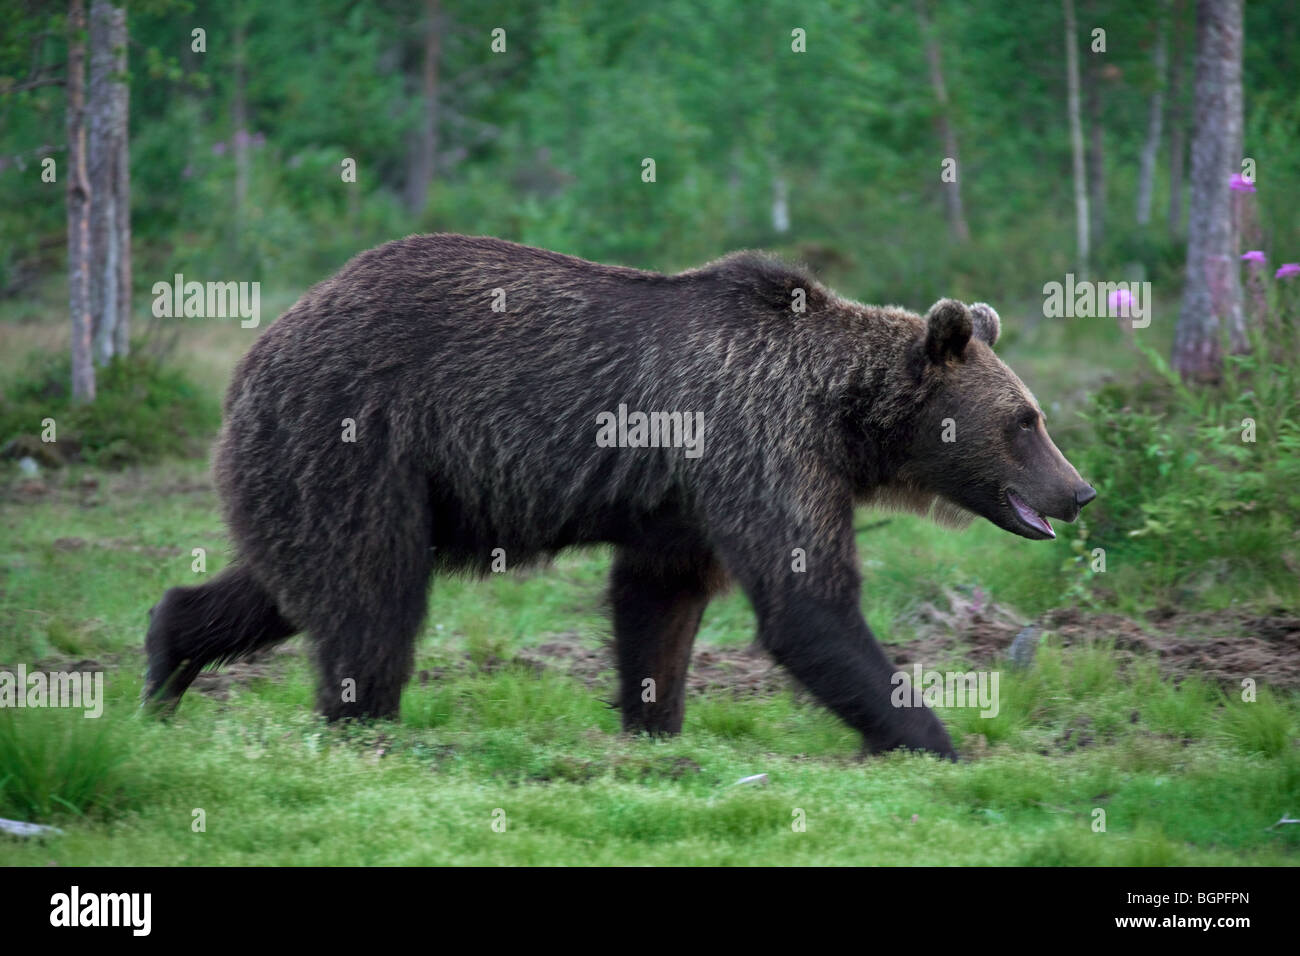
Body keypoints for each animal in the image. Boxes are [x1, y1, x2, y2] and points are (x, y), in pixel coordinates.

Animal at [144, 231, 1097, 754]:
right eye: (1025, 420)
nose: (1080, 491)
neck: (842, 416)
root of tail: (256, 353)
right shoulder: (756, 439)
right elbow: (808, 604)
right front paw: (934, 740)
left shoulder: (688, 495)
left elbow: (658, 600)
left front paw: (655, 724)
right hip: (356, 432)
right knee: (370, 593)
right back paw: (366, 722)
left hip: (324, 464)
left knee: (287, 580)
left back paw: (164, 665)